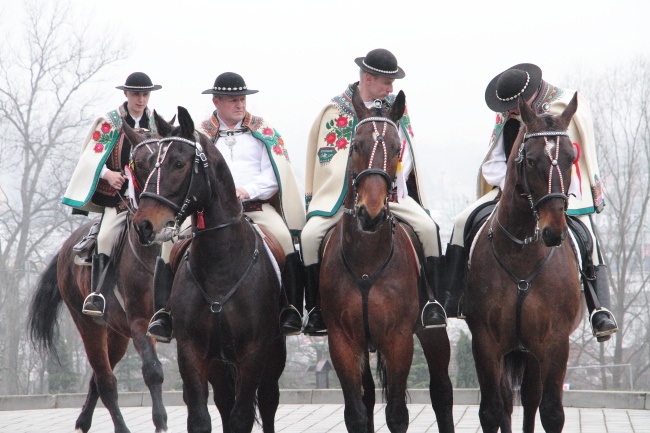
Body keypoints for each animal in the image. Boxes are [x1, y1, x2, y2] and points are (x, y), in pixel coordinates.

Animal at [27, 115, 172, 432]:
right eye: (139, 162)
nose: (150, 225)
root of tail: (66, 248)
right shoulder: (141, 322)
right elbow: (153, 371)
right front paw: (160, 422)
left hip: (116, 334)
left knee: (97, 379)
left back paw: (83, 420)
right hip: (89, 325)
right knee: (105, 381)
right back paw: (119, 427)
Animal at [130, 105, 284, 432]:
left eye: (178, 163)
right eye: (148, 165)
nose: (144, 225)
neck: (221, 266)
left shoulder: (254, 352)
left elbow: (241, 418)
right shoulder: (192, 351)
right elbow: (200, 418)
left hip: (273, 354)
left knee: (267, 401)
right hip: (218, 364)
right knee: (225, 402)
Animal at [318, 88, 450, 432]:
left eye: (395, 147)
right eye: (356, 145)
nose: (372, 213)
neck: (366, 260)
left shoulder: (398, 339)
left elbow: (397, 413)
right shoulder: (343, 341)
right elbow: (356, 412)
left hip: (433, 334)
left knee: (442, 391)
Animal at [460, 94, 584, 432]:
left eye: (571, 157)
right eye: (529, 160)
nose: (554, 230)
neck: (522, 256)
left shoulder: (555, 342)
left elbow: (550, 411)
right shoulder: (486, 343)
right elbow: (492, 410)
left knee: (530, 399)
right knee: (507, 401)